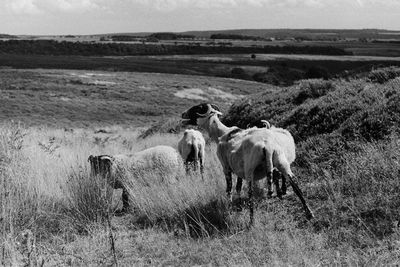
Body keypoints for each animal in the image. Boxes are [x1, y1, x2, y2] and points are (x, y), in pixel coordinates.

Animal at [181, 103, 312, 225]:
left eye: (198, 108)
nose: (183, 114)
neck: (221, 133)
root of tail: (268, 146)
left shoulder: (226, 167)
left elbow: (229, 189)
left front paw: (230, 207)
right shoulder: (239, 169)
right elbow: (238, 187)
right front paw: (238, 206)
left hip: (250, 170)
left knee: (251, 195)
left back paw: (251, 222)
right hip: (281, 162)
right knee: (295, 185)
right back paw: (309, 213)